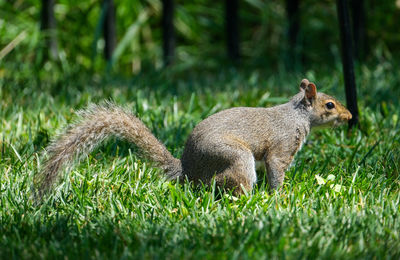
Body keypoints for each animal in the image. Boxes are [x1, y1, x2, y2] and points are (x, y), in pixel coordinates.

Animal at [35, 79, 354, 197]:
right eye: (330, 105)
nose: (350, 116)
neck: (297, 115)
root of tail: (187, 171)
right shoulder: (282, 147)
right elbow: (276, 169)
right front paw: (279, 196)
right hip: (234, 157)